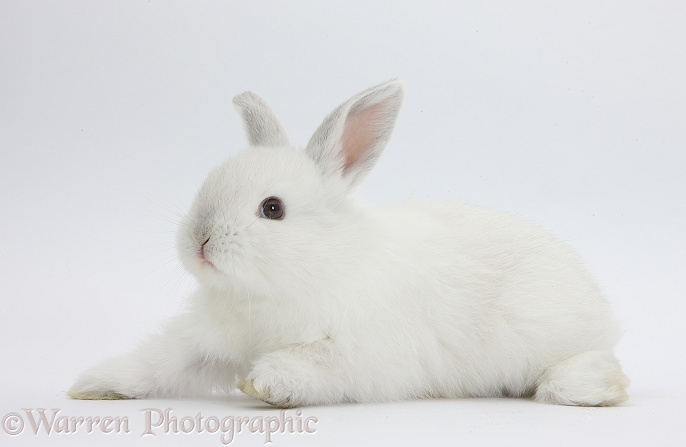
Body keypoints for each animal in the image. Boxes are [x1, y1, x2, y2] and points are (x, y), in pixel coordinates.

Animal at [68, 79, 628, 408]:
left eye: (272, 209)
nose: (199, 240)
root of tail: (600, 304)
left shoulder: (355, 354)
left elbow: (311, 365)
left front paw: (263, 384)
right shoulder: (207, 343)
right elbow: (160, 364)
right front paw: (94, 383)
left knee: (575, 368)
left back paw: (601, 385)